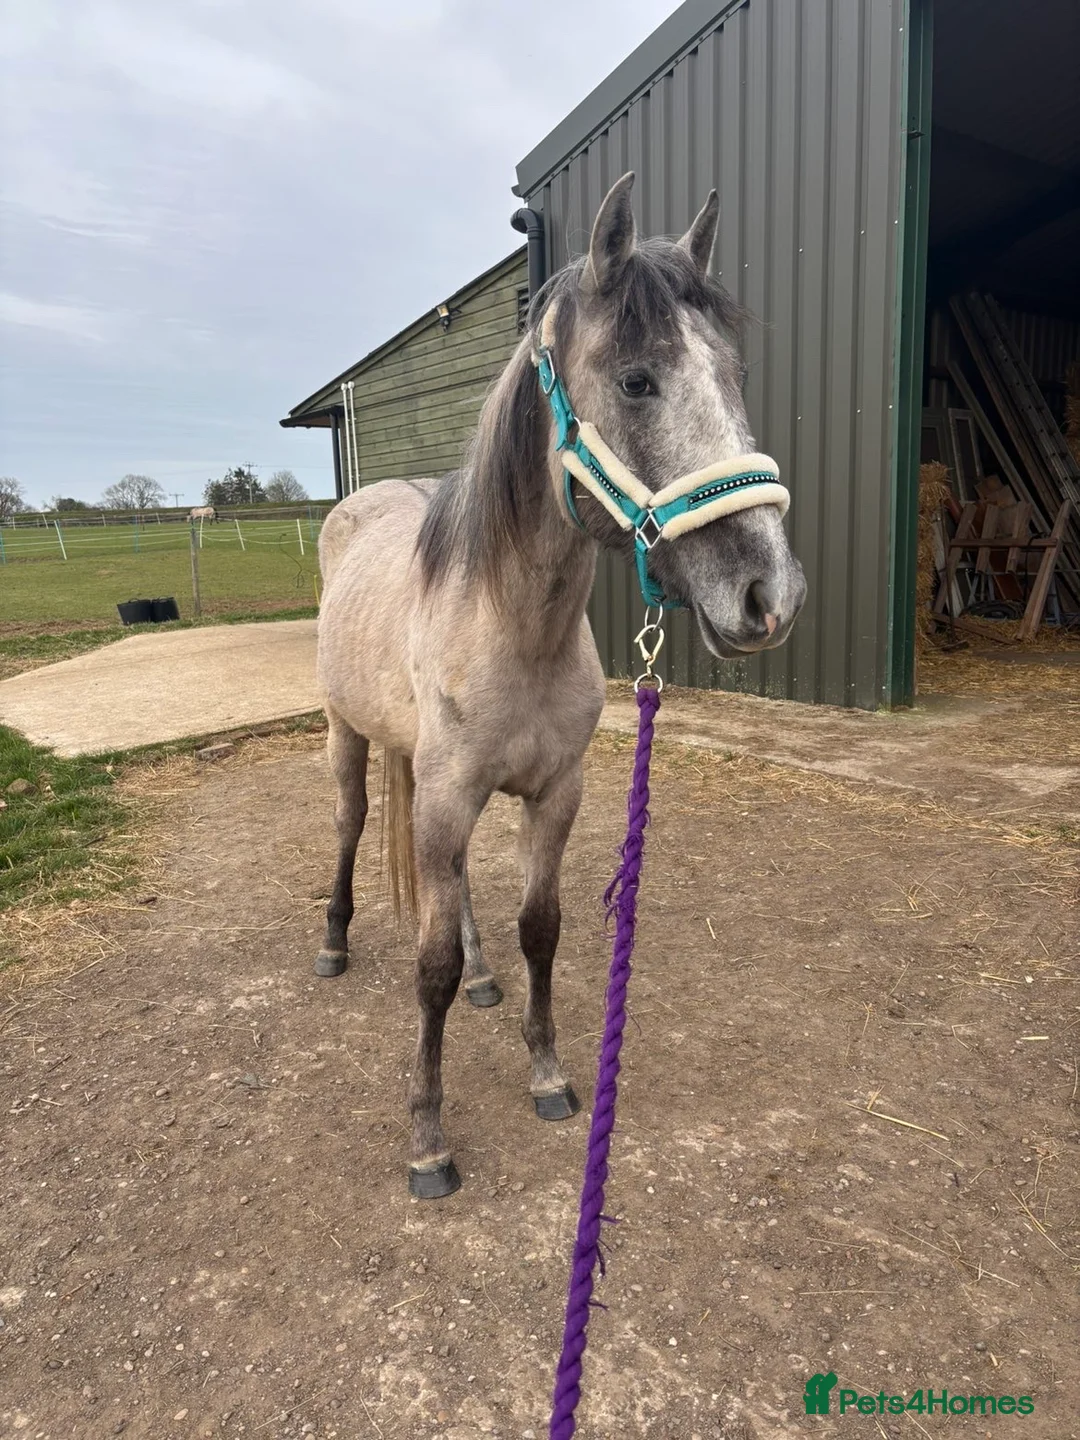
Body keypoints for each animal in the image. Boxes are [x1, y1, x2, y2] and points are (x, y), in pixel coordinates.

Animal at [314, 173, 806, 1198]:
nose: (769, 595)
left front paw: (544, 1071)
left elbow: (538, 926)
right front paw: (428, 1136)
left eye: (734, 374)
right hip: (347, 735)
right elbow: (425, 970)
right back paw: (334, 943)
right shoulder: (449, 797)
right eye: (637, 380)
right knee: (350, 824)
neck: (512, 627)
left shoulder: (555, 794)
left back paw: (484, 976)